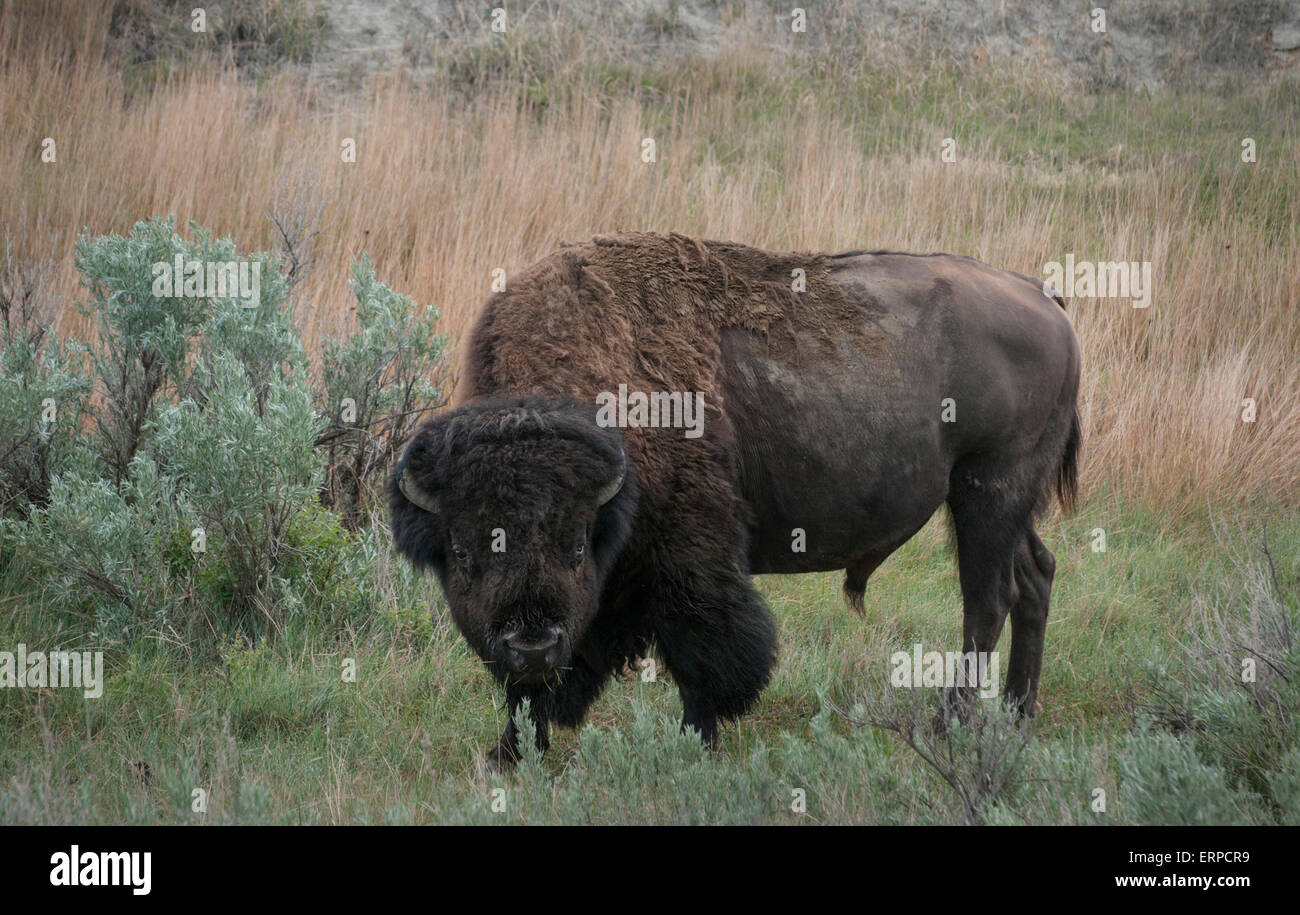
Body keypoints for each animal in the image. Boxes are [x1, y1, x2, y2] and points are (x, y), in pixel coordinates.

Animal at [390, 230, 1081, 764]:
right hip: (1002, 502)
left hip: (990, 488)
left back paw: (952, 724)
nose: (531, 646)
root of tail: (1044, 300)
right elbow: (529, 691)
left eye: (577, 545)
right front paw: (506, 756)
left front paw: (697, 742)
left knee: (986, 600)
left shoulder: (691, 555)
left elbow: (705, 651)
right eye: (461, 551)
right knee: (1035, 576)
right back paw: (1018, 712)